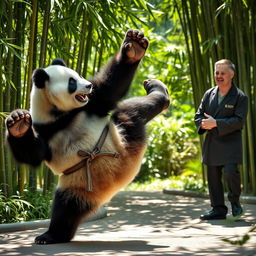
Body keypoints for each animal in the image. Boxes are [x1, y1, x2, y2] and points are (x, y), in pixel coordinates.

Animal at [5, 29, 169, 245]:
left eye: (79, 75)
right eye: (72, 82)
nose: (89, 85)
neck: (60, 115)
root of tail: (121, 178)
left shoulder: (90, 105)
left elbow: (109, 88)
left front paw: (134, 47)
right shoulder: (45, 130)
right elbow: (31, 154)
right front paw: (17, 122)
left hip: (122, 138)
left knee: (129, 112)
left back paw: (158, 91)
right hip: (77, 183)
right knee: (66, 208)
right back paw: (50, 236)